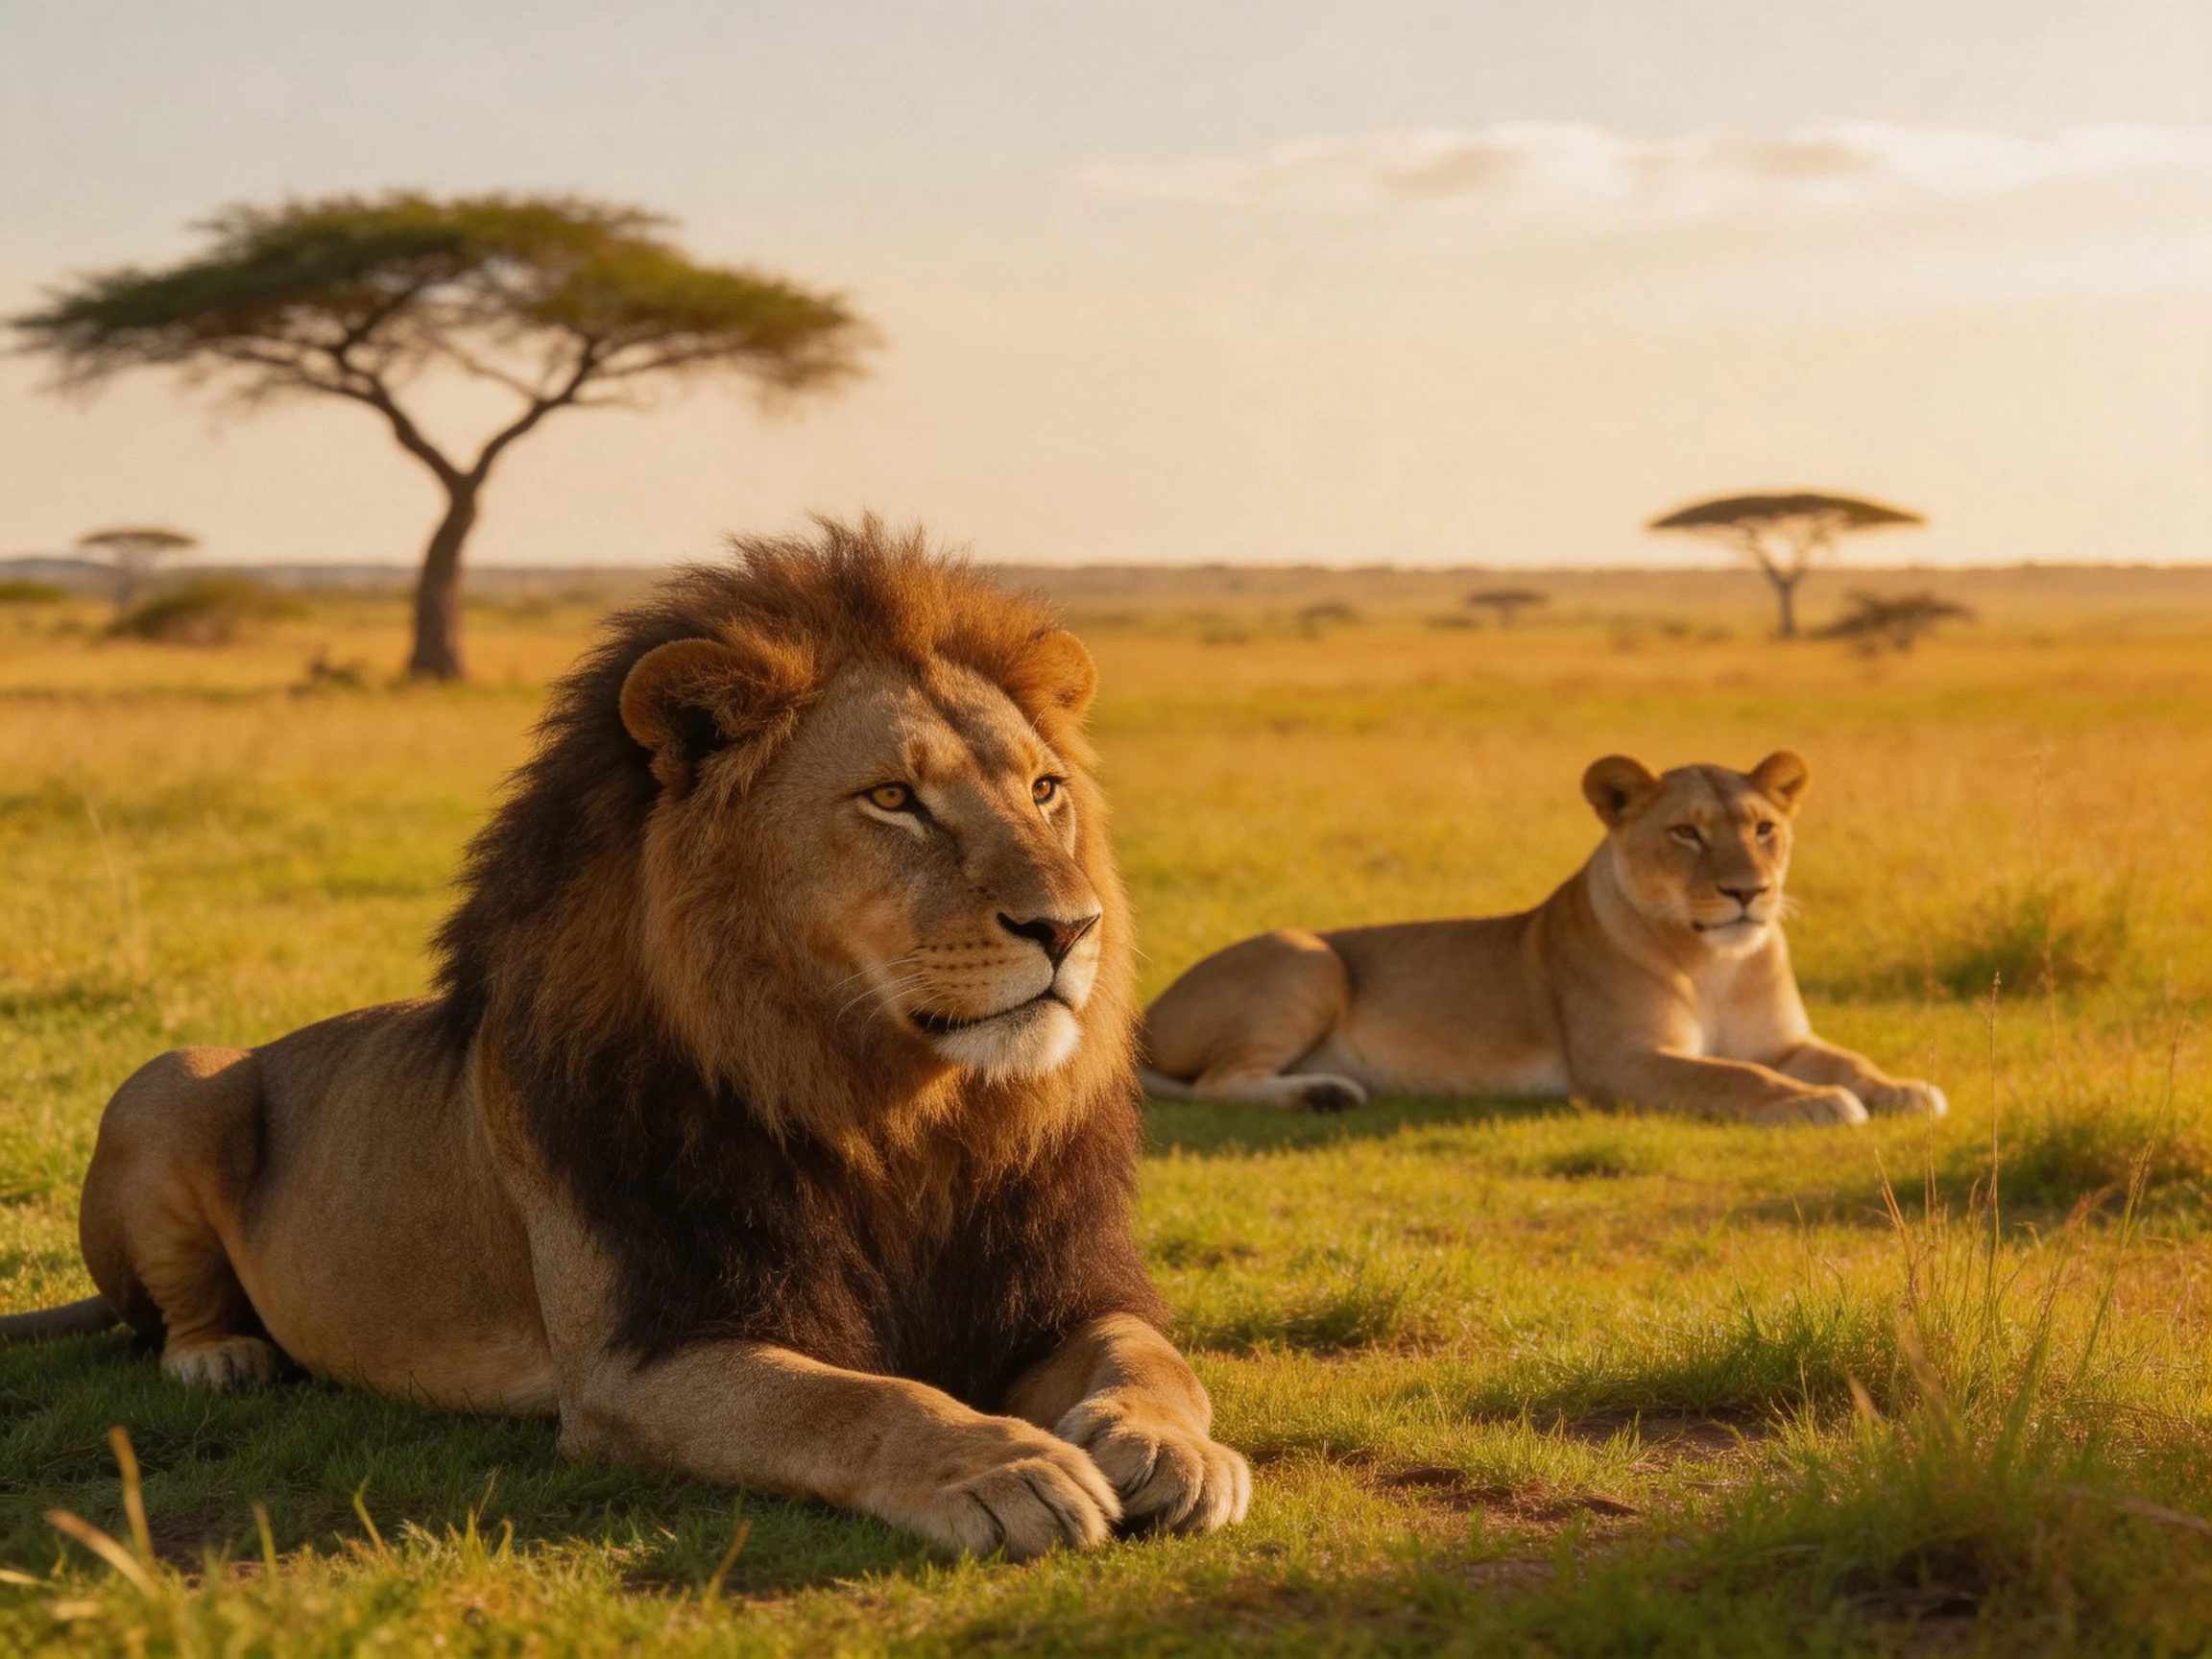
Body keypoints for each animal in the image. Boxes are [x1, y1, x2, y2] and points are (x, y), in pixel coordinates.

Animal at [0, 521, 1249, 1559]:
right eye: (893, 799)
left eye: (1043, 790)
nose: (1071, 926)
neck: (892, 1112)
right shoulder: (640, 1358)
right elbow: (854, 1398)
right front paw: (1005, 1466)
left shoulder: (1065, 1291)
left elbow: (1153, 1358)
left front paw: (1173, 1448)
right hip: (174, 1079)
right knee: (171, 1306)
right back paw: (222, 1355)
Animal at [1141, 752, 1947, 1126]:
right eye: (1686, 833)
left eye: (1764, 829)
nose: (1748, 892)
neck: (1716, 961)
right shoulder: (1619, 1062)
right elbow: (1733, 1076)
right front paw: (1817, 1104)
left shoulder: (1784, 1039)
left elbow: (1844, 1058)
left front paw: (1902, 1089)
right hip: (1308, 956)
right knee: (1215, 1083)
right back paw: (1324, 1095)